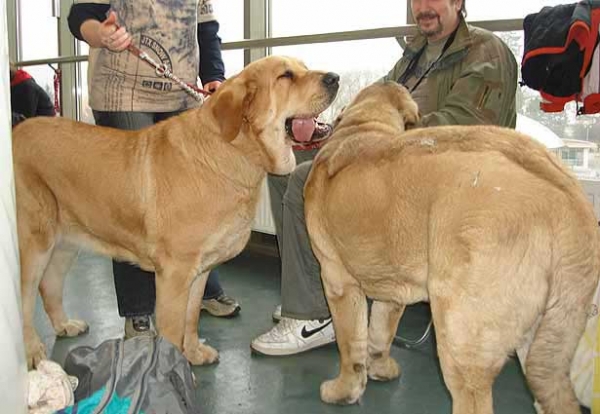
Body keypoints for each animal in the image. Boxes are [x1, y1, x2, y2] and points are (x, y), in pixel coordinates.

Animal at [12, 55, 338, 368]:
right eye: (286, 76)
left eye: (304, 67)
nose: (334, 78)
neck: (234, 150)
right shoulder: (173, 274)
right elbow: (171, 329)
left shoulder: (199, 271)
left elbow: (190, 319)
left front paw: (193, 353)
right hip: (34, 246)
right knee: (24, 302)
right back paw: (32, 352)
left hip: (64, 245)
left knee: (49, 286)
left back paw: (65, 325)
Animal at [304, 81, 600, 414]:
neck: (364, 124)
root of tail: (568, 193)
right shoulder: (392, 290)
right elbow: (380, 330)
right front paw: (380, 368)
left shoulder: (337, 282)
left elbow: (350, 345)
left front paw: (343, 390)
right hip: (544, 338)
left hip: (460, 335)